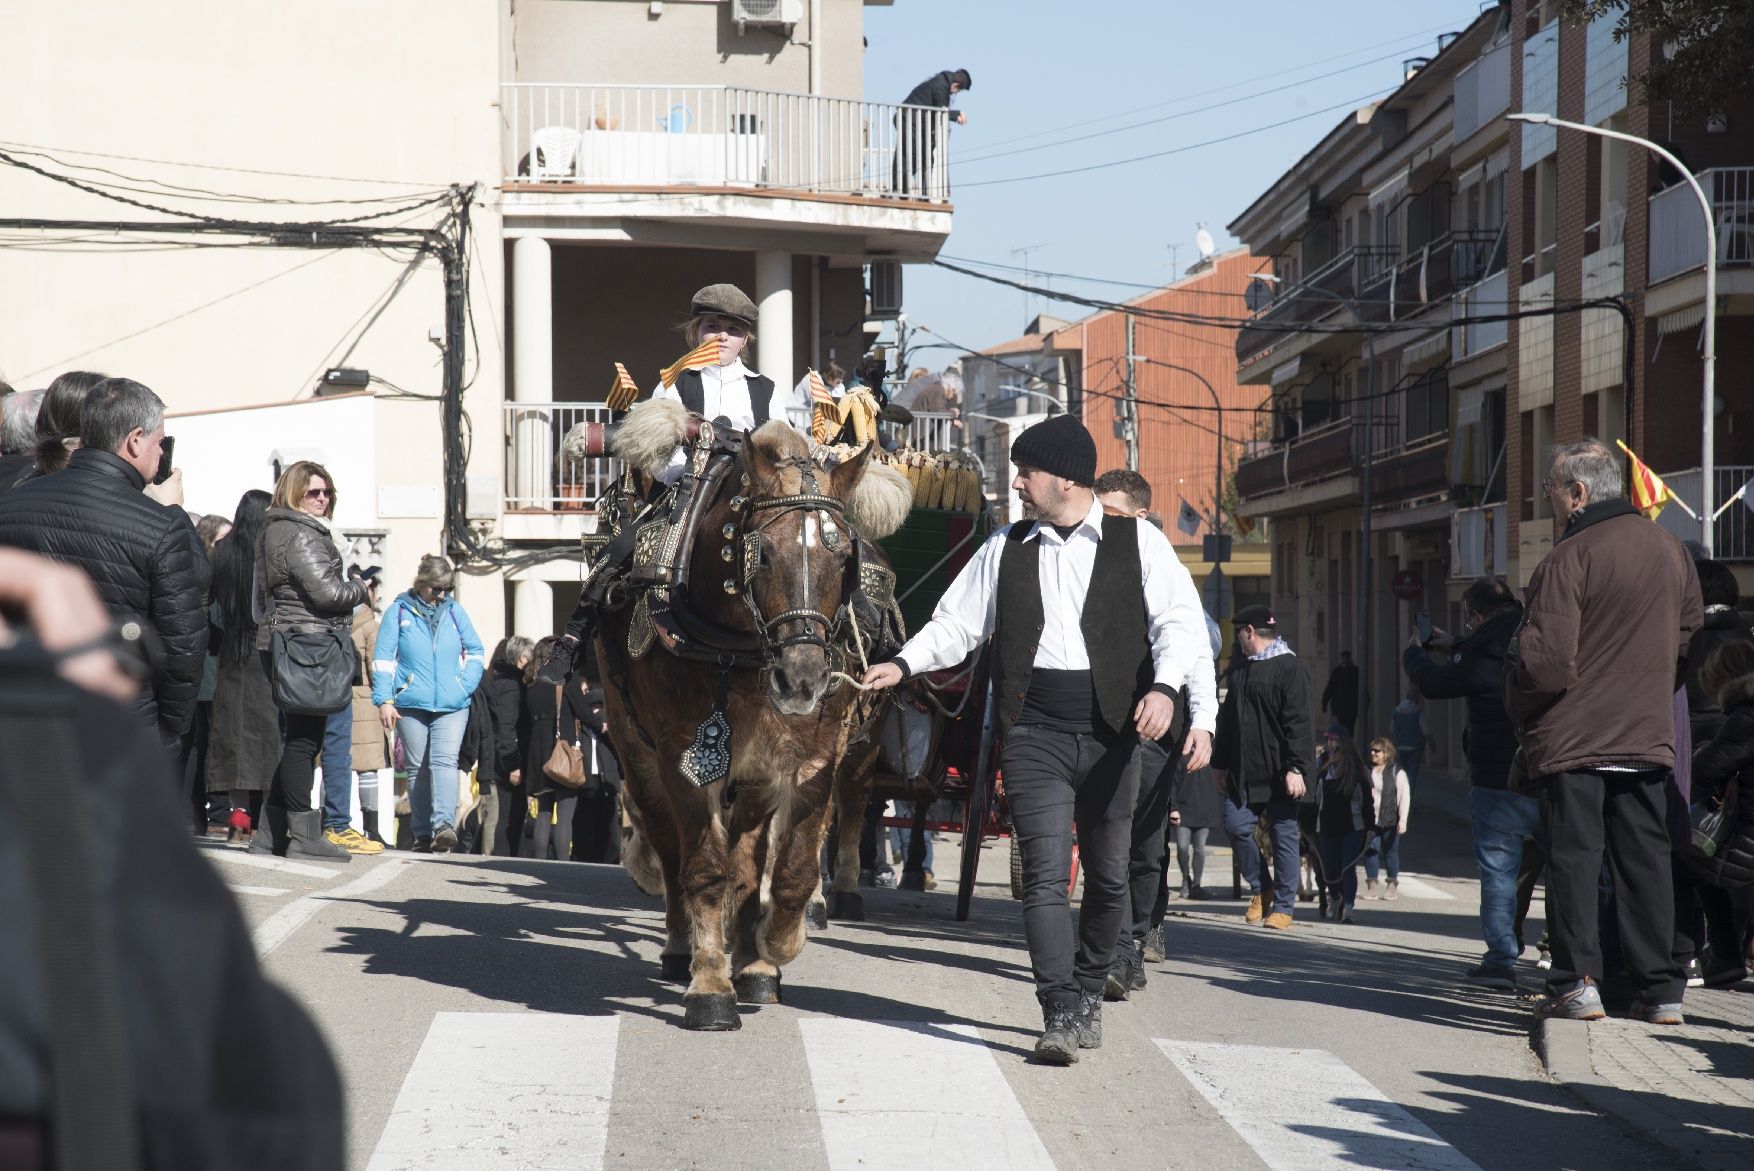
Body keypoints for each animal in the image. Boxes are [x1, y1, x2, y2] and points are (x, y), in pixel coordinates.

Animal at [599, 406, 912, 1030]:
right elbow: (704, 868)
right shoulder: (684, 756)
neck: (742, 651)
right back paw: (682, 947)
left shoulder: (807, 758)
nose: (804, 678)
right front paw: (710, 985)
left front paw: (772, 949)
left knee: (785, 843)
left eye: (844, 558)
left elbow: (787, 871)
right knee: (670, 847)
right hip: (634, 746)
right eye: (760, 553)